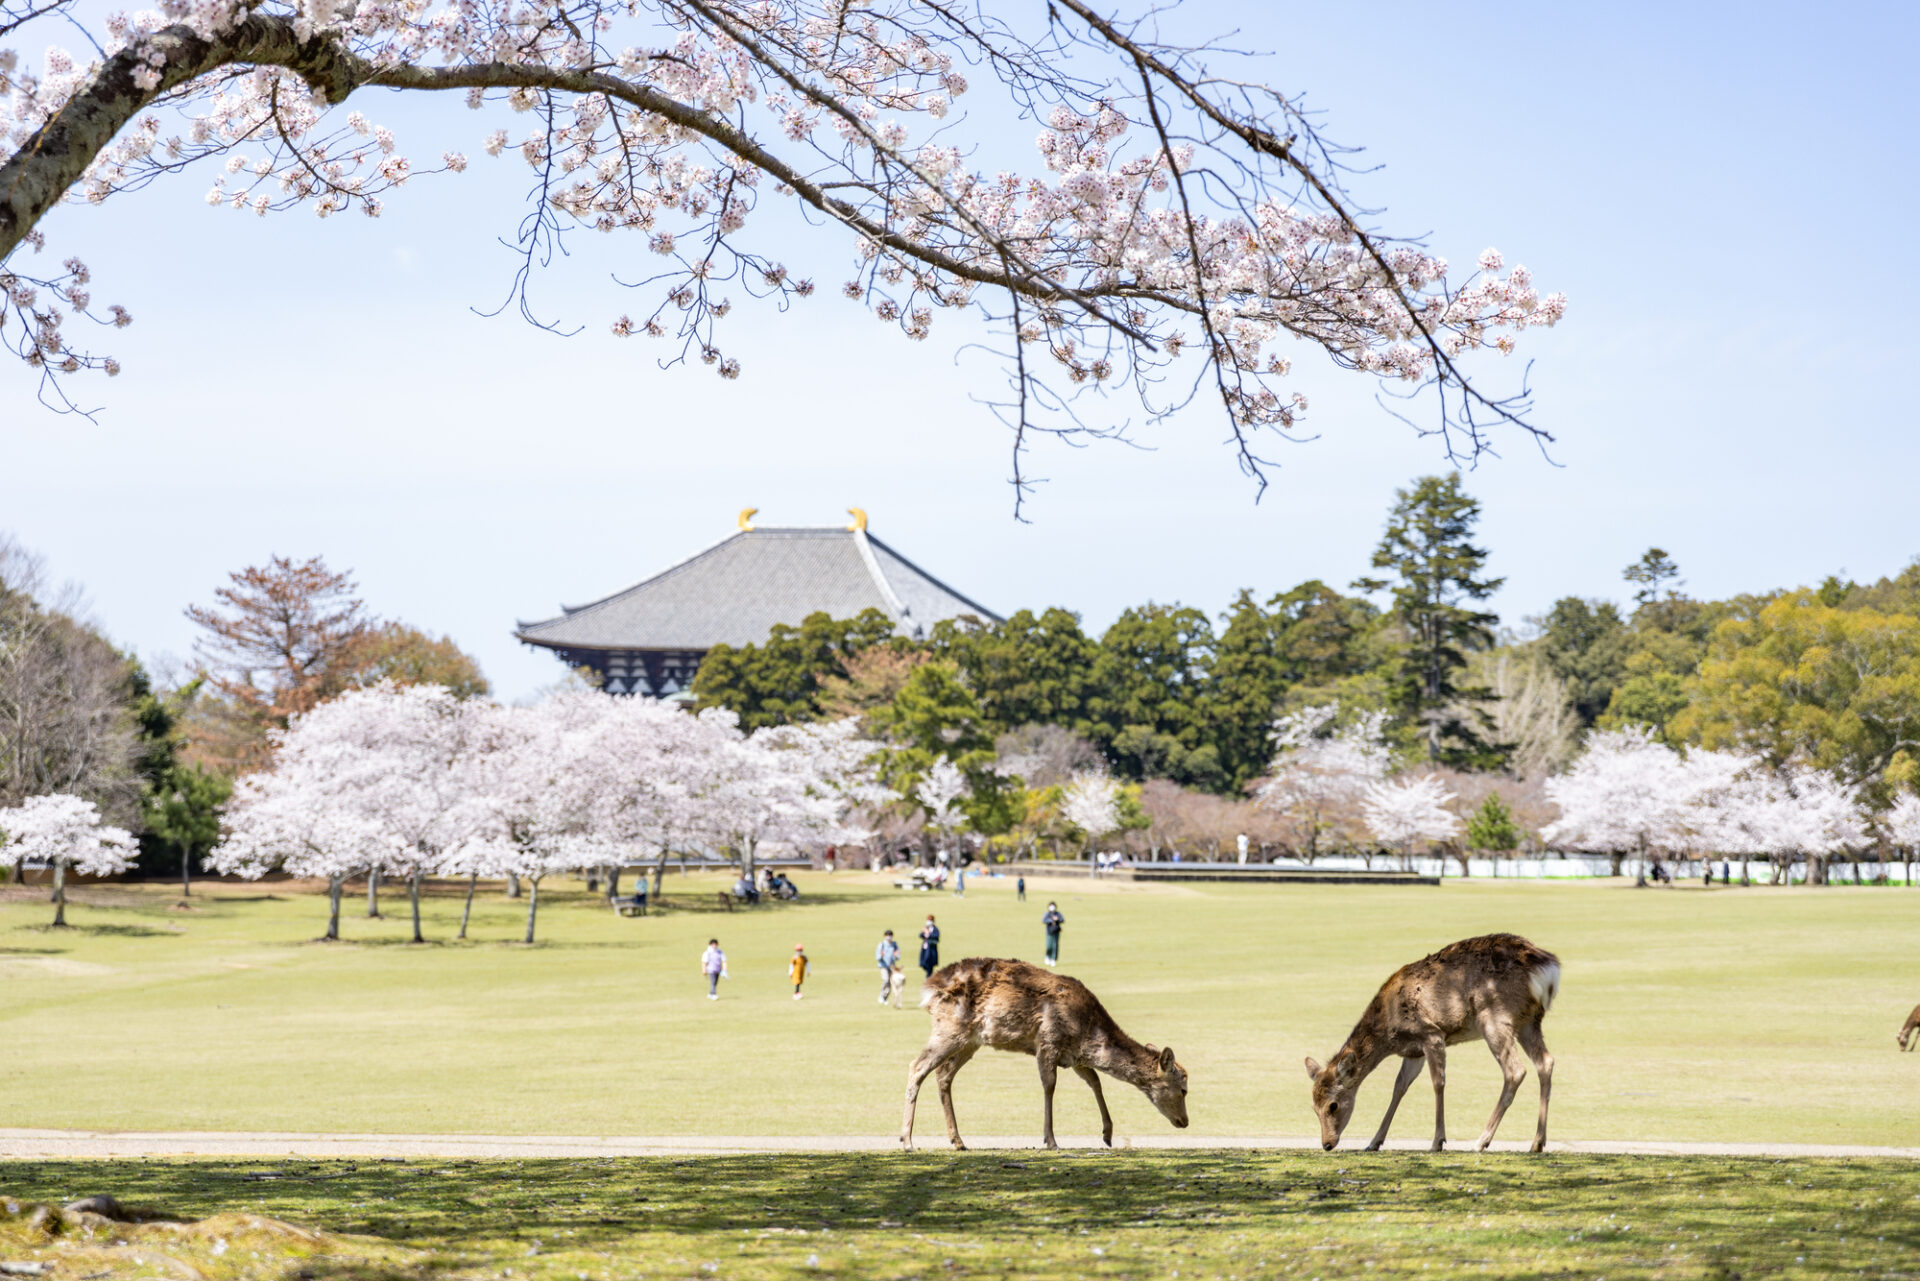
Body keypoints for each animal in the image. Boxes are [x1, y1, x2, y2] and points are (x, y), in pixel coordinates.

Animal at [901, 957, 1190, 1150]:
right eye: (1184, 1089)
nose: (1185, 1121)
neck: (1087, 1030)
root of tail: (929, 988)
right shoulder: (1048, 1042)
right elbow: (1049, 1085)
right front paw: (1051, 1140)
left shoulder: (1075, 1057)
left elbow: (1095, 1081)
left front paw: (1107, 1134)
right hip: (950, 1029)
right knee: (917, 1066)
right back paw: (907, 1141)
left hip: (971, 1041)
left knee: (943, 1073)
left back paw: (958, 1140)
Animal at [1305, 933, 1560, 1154]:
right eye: (1313, 1107)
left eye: (1333, 1105)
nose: (1327, 1143)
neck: (1388, 1031)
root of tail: (1548, 968)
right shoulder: (1413, 1052)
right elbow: (1399, 1087)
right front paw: (1374, 1142)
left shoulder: (1431, 1034)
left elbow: (1438, 1083)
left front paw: (1437, 1141)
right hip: (1529, 1021)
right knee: (1545, 1062)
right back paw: (1537, 1142)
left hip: (1495, 1017)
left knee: (1515, 1070)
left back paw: (1481, 1141)